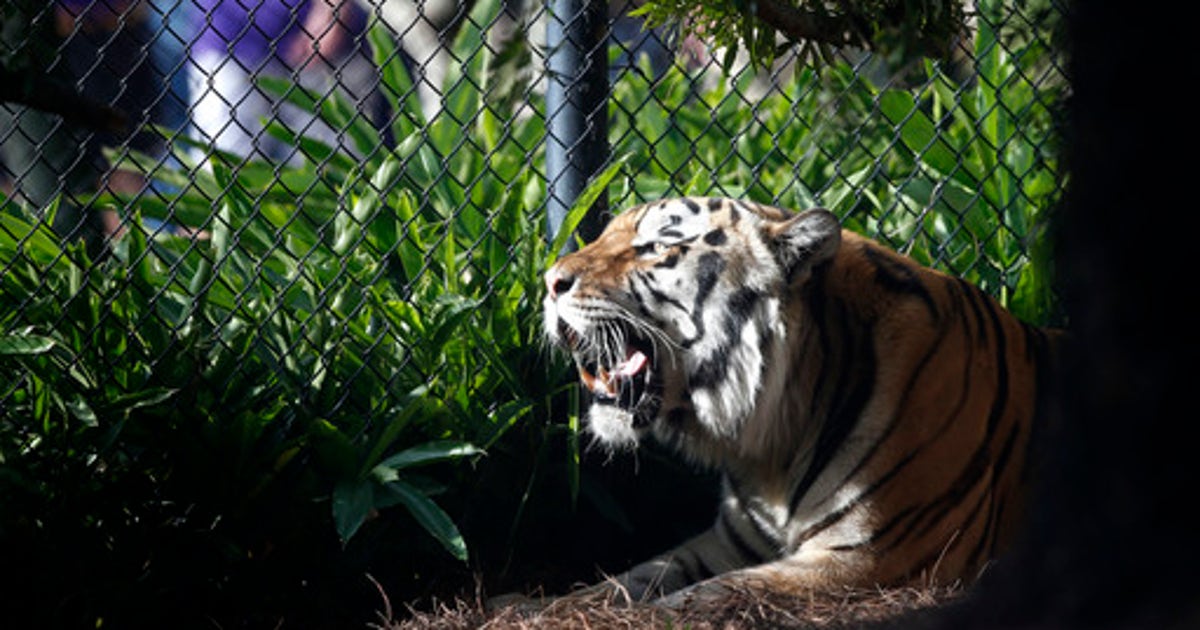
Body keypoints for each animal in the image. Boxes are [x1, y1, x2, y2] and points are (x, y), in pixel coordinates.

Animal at [542, 195, 1060, 604]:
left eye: (655, 246)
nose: (549, 282)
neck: (771, 446)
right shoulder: (724, 544)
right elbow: (627, 580)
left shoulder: (868, 558)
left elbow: (704, 596)